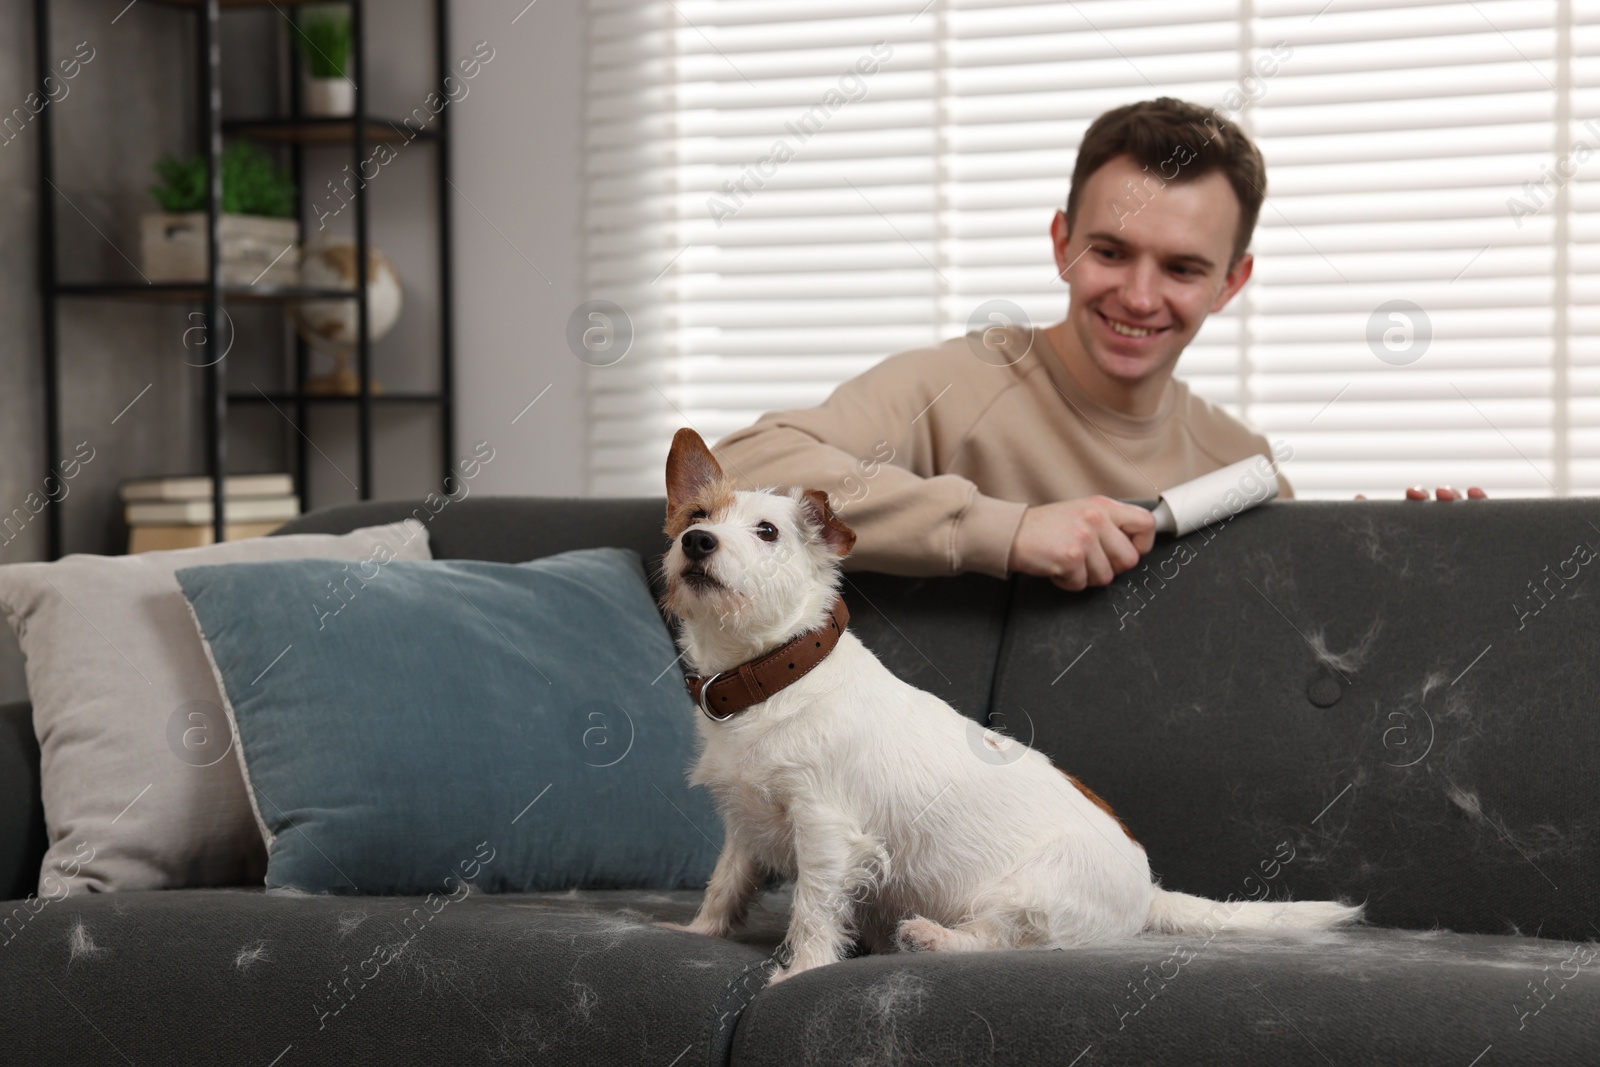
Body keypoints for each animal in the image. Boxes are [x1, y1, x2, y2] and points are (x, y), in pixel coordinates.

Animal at [662, 428, 1363, 985]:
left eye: (767, 531)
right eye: (697, 513)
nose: (696, 542)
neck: (770, 676)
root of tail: (1149, 892)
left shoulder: (827, 831)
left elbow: (812, 908)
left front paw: (799, 971)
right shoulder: (745, 828)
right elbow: (726, 882)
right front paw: (698, 935)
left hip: (1030, 894)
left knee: (999, 937)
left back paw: (931, 937)